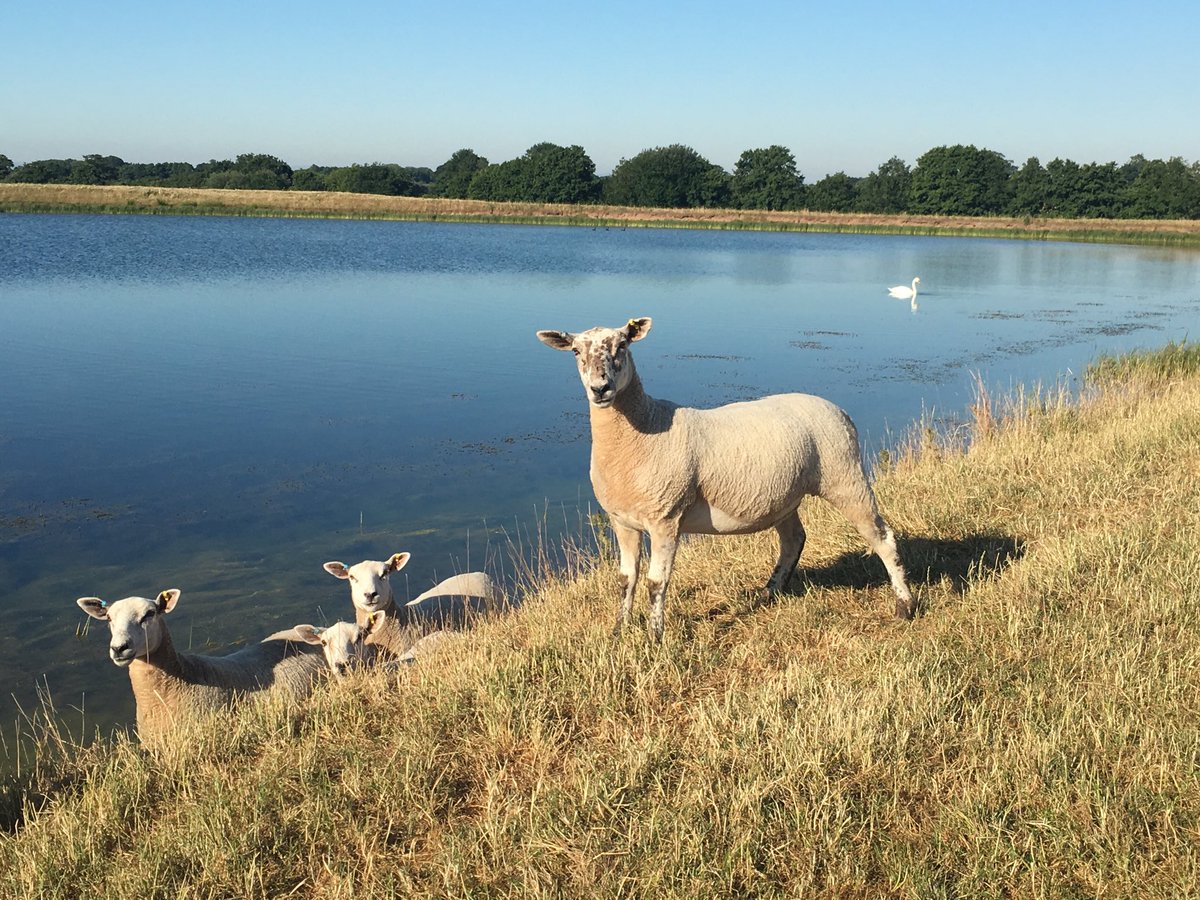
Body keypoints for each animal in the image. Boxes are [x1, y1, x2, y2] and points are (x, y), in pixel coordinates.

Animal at [536, 316, 915, 640]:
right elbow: (625, 580)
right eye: (575, 351)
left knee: (883, 538)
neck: (644, 427)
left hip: (845, 476)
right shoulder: (622, 520)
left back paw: (905, 606)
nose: (600, 389)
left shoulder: (666, 518)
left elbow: (656, 583)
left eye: (623, 346)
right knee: (794, 539)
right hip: (785, 496)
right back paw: (769, 594)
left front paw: (655, 638)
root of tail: (840, 410)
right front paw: (619, 631)